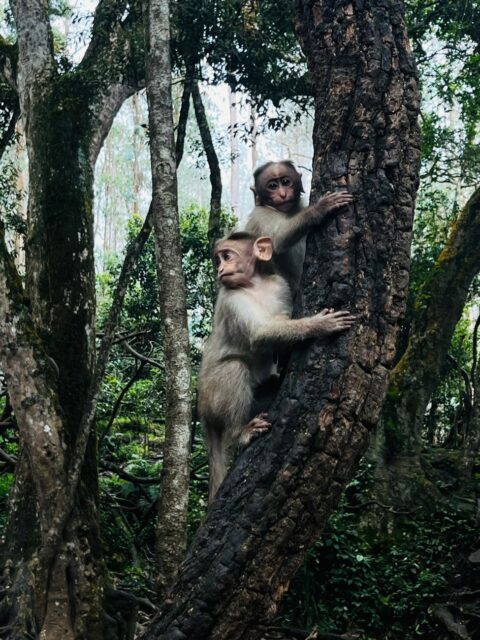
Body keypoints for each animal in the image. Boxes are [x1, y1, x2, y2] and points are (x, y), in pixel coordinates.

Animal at [198, 231, 355, 503]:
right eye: (219, 259)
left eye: (226, 256)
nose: (220, 269)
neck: (254, 284)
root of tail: (201, 410)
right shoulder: (230, 297)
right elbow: (260, 334)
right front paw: (318, 325)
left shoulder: (278, 285)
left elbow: (281, 319)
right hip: (211, 395)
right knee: (235, 368)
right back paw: (239, 433)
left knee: (268, 384)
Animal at [245, 160, 353, 294]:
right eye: (272, 186)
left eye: (286, 182)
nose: (283, 194)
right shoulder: (260, 216)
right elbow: (277, 240)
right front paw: (320, 207)